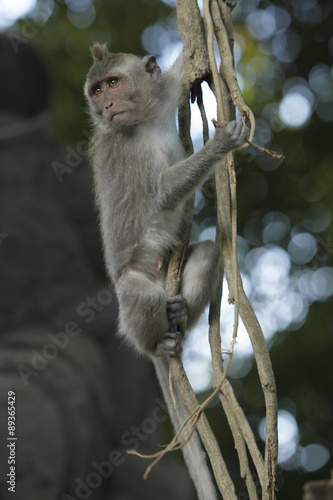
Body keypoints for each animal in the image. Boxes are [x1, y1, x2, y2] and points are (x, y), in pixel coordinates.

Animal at [84, 42, 248, 500]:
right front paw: (219, 148)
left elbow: (179, 75)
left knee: (208, 252)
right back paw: (158, 345)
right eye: (97, 90)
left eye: (113, 82)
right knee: (138, 292)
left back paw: (179, 315)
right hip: (134, 284)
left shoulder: (165, 92)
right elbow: (159, 194)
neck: (140, 122)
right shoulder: (123, 150)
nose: (106, 104)